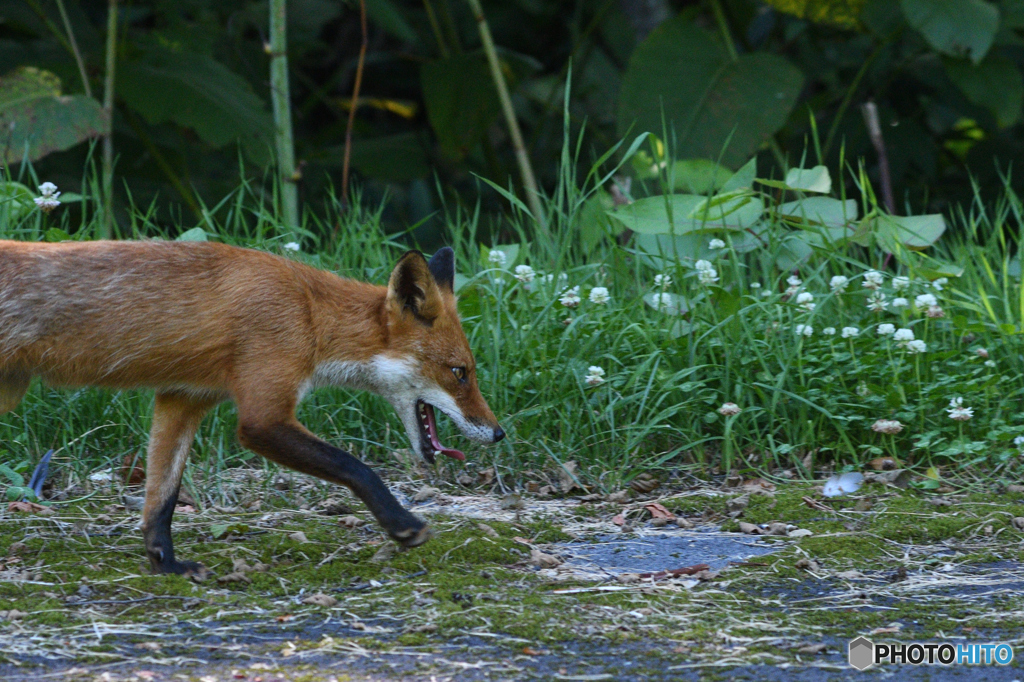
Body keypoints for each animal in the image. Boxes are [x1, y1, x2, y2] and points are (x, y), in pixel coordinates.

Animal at [0, 238, 503, 573]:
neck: (310, 315)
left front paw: (166, 565)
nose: (498, 433)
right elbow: (357, 467)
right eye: (460, 372)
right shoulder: (262, 417)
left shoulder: (184, 398)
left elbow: (161, 497)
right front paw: (401, 524)